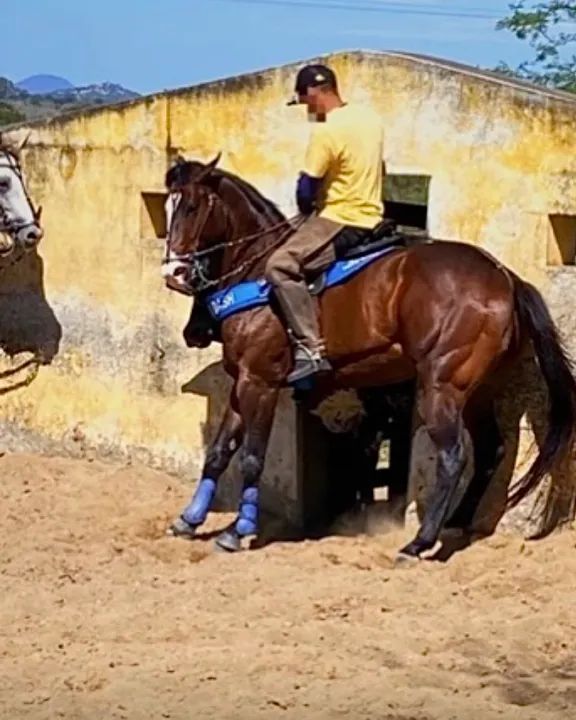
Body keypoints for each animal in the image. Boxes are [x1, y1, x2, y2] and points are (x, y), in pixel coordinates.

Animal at [161, 153, 576, 563]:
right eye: (167, 206)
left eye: (192, 206)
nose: (174, 273)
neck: (258, 273)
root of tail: (504, 276)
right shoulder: (242, 380)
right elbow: (219, 452)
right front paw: (189, 519)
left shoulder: (260, 381)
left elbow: (251, 457)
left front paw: (239, 529)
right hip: (476, 389)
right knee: (492, 449)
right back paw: (455, 523)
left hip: (440, 386)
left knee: (453, 456)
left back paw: (419, 542)